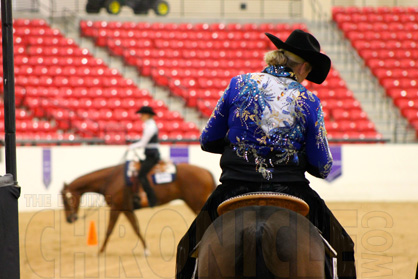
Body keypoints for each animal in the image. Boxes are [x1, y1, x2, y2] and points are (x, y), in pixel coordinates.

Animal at [62, 162, 217, 256]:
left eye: (66, 199)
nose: (69, 219)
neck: (113, 180)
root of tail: (206, 171)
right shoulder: (127, 209)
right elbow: (136, 228)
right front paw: (146, 250)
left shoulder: (116, 208)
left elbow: (109, 230)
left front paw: (100, 252)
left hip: (197, 204)